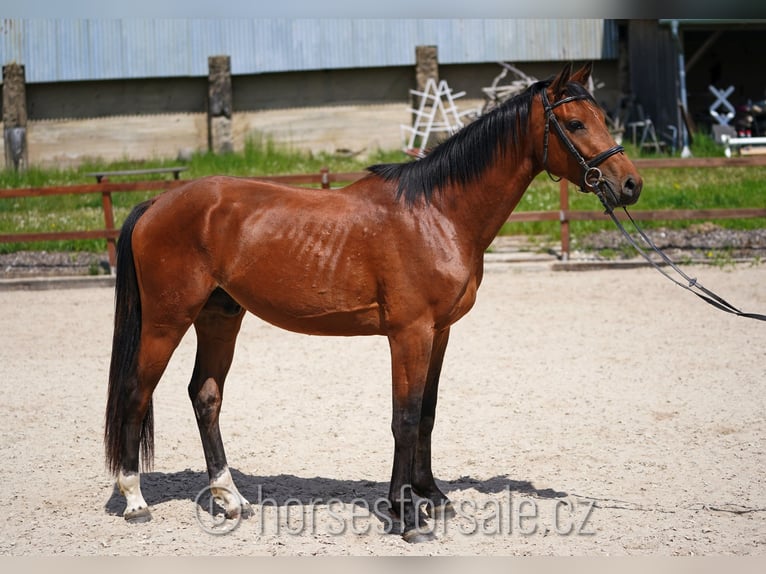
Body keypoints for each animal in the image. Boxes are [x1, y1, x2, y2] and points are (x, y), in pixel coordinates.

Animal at [104, 62, 642, 543]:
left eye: (602, 118)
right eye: (575, 123)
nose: (631, 184)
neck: (438, 213)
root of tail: (155, 203)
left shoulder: (439, 333)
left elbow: (427, 413)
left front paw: (432, 497)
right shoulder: (409, 333)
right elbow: (404, 417)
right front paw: (407, 517)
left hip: (220, 316)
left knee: (206, 396)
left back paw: (229, 499)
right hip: (167, 320)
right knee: (136, 392)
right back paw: (135, 501)